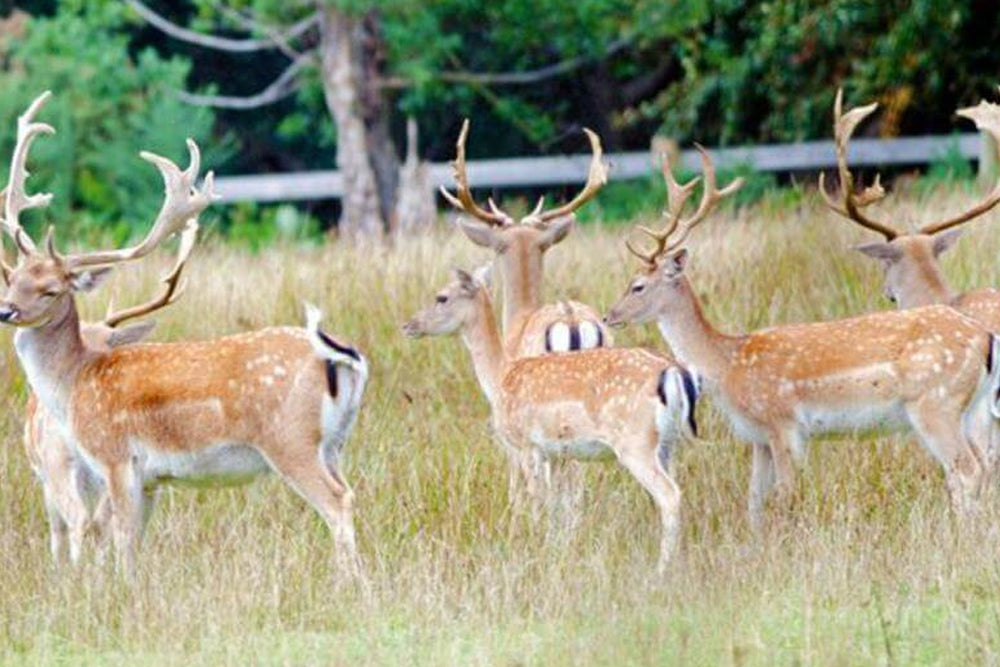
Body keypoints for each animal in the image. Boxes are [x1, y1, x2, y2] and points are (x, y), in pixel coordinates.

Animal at [402, 265, 699, 571]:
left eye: (442, 297)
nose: (409, 325)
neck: (500, 376)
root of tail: (674, 372)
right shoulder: (555, 452)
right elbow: (557, 501)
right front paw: (558, 544)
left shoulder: (526, 444)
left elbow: (537, 497)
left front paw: (534, 544)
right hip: (668, 444)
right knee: (675, 491)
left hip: (635, 443)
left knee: (669, 495)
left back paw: (662, 568)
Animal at [603, 146, 1000, 529]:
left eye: (638, 286)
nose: (609, 315)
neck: (727, 364)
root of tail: (983, 339)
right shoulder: (757, 436)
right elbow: (754, 503)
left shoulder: (783, 424)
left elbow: (785, 496)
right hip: (970, 406)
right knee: (981, 466)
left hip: (935, 403)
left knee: (967, 468)